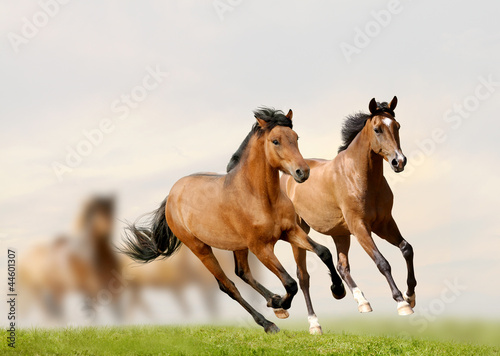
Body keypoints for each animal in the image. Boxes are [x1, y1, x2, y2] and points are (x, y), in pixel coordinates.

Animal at [122, 106, 344, 334]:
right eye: (275, 141)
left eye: (296, 137)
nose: (303, 172)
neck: (260, 196)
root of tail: (172, 195)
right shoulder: (261, 247)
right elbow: (290, 282)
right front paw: (281, 303)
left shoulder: (290, 231)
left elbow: (324, 252)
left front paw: (337, 290)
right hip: (201, 249)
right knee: (228, 285)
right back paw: (268, 322)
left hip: (238, 246)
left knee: (242, 272)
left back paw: (272, 301)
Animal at [282, 96, 418, 334]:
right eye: (377, 129)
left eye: (397, 126)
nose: (399, 161)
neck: (359, 176)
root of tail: (289, 177)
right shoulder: (360, 226)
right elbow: (382, 262)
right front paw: (402, 303)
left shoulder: (384, 224)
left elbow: (406, 249)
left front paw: (410, 296)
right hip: (299, 232)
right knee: (303, 277)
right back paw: (314, 324)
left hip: (340, 234)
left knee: (342, 267)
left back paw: (360, 301)